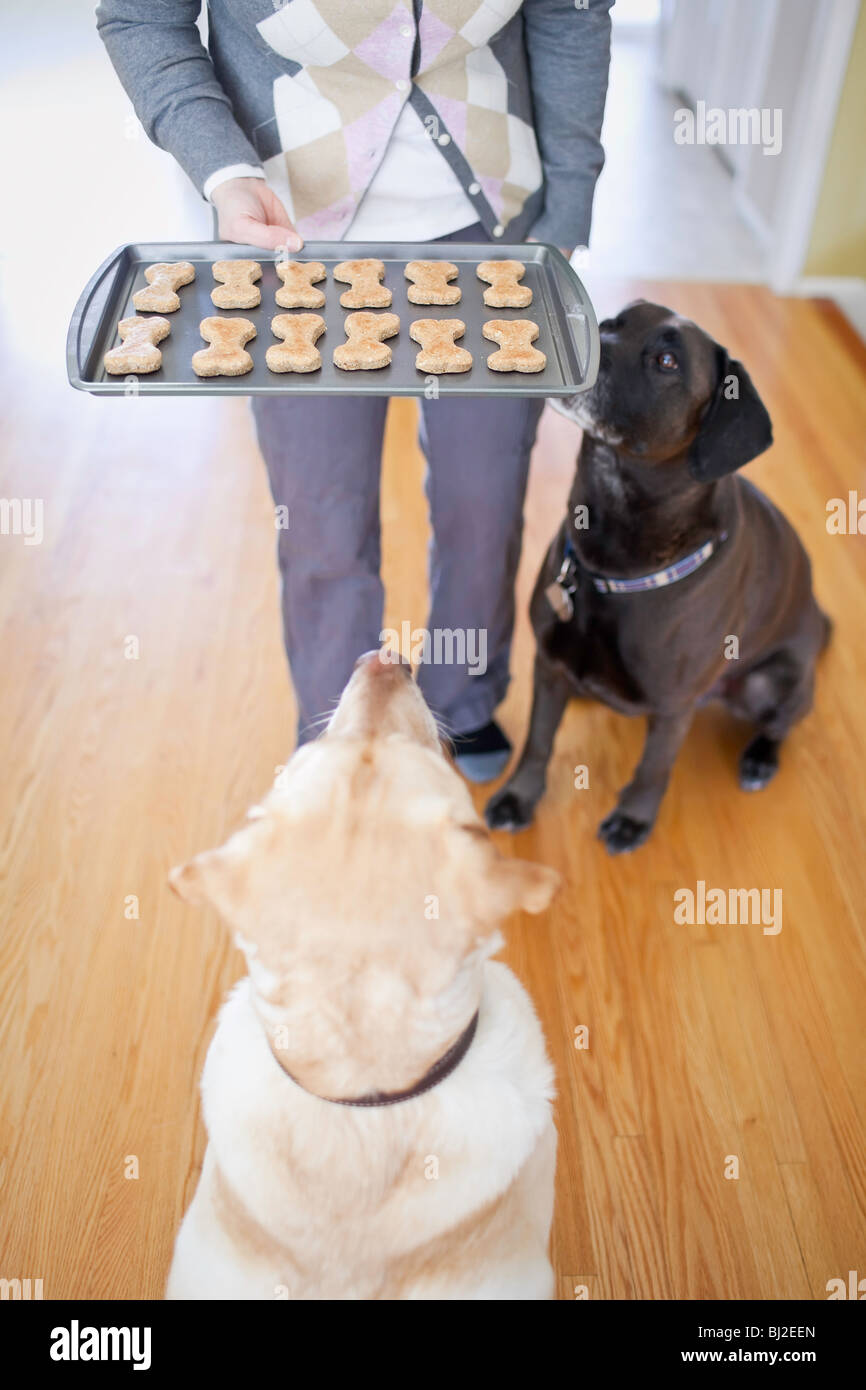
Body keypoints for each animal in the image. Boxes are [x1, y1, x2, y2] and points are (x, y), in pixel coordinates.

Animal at [483, 298, 828, 850]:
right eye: (610, 324)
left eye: (667, 362)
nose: (578, 334)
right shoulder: (549, 664)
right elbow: (538, 740)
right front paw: (520, 797)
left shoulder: (673, 705)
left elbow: (653, 768)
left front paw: (633, 820)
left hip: (773, 682)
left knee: (782, 725)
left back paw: (760, 759)